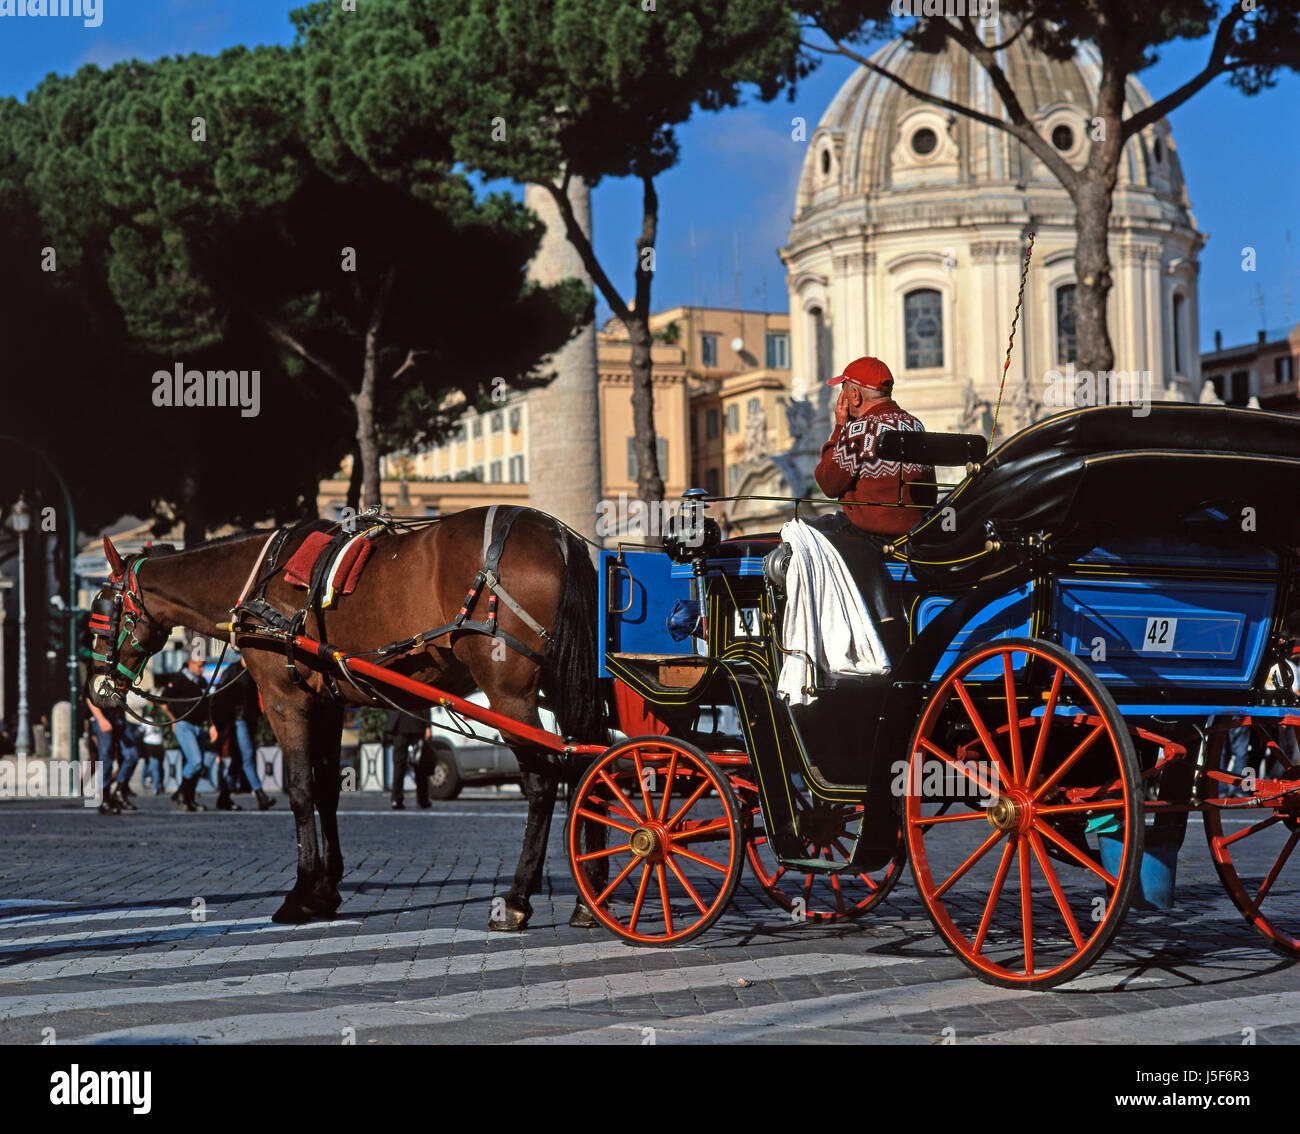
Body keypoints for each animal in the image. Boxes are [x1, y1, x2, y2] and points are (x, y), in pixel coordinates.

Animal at [86, 509, 603, 925]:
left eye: (101, 610)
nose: (96, 687)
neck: (260, 581)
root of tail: (558, 536)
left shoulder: (285, 701)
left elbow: (300, 791)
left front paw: (302, 893)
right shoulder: (329, 703)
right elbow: (328, 791)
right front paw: (326, 887)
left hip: (508, 693)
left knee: (543, 781)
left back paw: (517, 898)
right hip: (564, 684)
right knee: (590, 769)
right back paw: (588, 896)